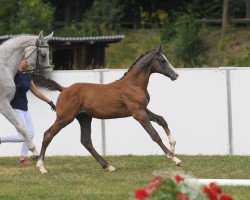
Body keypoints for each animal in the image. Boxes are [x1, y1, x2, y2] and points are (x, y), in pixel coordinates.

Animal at [0, 31, 53, 159]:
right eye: (43, 55)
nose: (48, 76)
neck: (3, 67)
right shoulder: (3, 104)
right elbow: (21, 126)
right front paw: (34, 151)